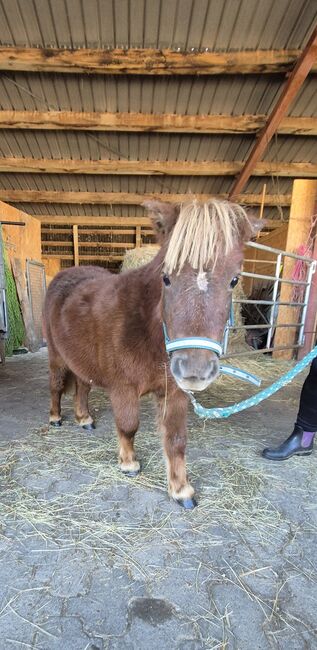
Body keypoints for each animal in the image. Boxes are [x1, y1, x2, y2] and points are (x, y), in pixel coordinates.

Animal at [44, 197, 262, 506]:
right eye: (166, 278)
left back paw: (84, 418)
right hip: (56, 357)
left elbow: (176, 439)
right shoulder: (123, 388)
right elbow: (128, 425)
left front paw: (181, 489)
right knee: (56, 386)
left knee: (82, 388)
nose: (195, 370)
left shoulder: (175, 391)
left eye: (234, 280)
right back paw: (55, 418)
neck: (147, 331)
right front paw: (129, 463)